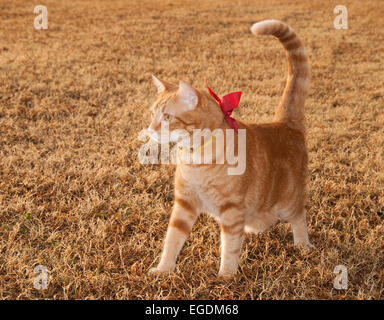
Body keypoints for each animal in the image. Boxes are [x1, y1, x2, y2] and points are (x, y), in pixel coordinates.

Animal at [146, 19, 312, 278]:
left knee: (299, 216)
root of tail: (284, 124)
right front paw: (164, 269)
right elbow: (172, 239)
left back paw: (303, 245)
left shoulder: (231, 209)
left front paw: (225, 276)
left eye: (166, 117)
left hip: (287, 201)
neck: (196, 159)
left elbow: (230, 246)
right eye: (153, 114)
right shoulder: (184, 204)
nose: (150, 129)